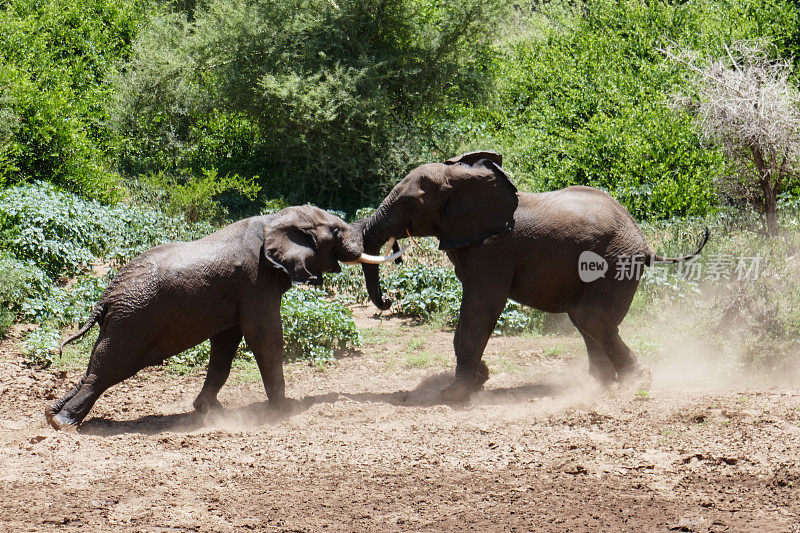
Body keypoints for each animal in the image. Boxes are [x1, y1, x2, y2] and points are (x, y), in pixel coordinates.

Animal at [46, 204, 404, 428]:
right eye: (336, 231)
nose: (388, 300)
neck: (276, 220)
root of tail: (105, 296)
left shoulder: (235, 295)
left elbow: (226, 344)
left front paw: (209, 411)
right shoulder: (256, 282)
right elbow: (264, 337)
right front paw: (283, 410)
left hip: (121, 322)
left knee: (94, 364)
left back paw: (53, 413)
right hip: (133, 321)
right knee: (108, 367)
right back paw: (64, 424)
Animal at [360, 150, 708, 400]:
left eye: (410, 202)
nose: (387, 301)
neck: (459, 178)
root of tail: (643, 239)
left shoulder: (492, 251)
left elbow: (482, 307)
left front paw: (454, 395)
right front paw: (479, 380)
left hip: (615, 258)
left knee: (592, 319)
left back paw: (636, 384)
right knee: (585, 321)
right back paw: (598, 386)